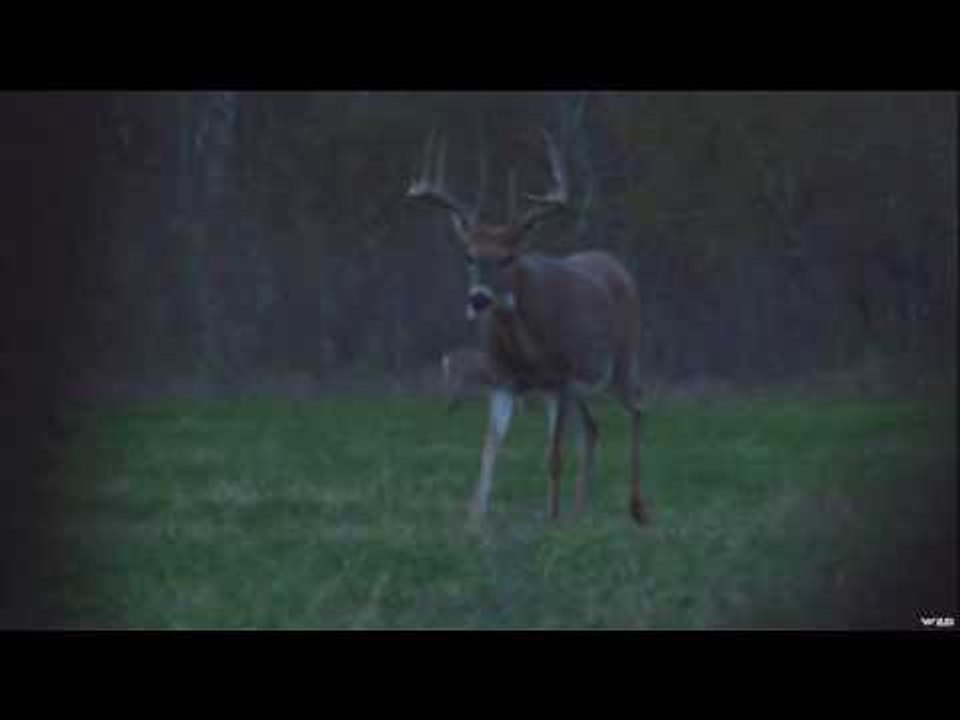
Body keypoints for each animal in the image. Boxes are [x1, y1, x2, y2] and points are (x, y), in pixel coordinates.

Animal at [407, 131, 649, 528]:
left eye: (508, 257)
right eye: (469, 255)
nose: (478, 299)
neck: (527, 351)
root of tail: (618, 266)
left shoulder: (560, 379)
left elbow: (553, 456)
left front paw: (550, 519)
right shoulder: (504, 381)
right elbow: (489, 447)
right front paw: (474, 521)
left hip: (623, 357)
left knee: (638, 408)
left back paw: (637, 509)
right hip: (583, 386)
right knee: (593, 427)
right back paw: (581, 511)